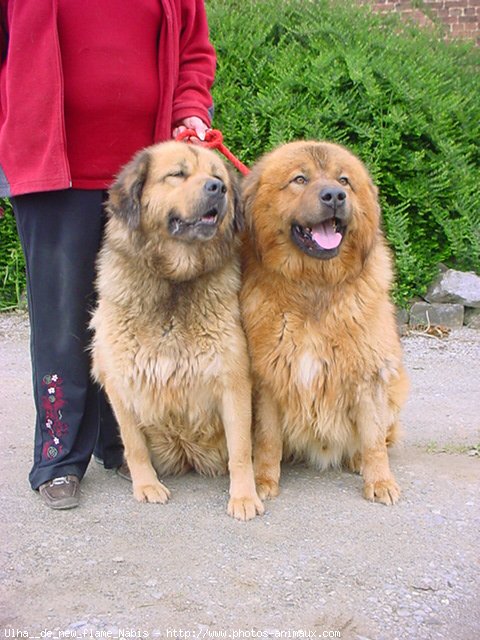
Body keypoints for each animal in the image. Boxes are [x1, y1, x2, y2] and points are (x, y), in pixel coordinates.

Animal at [90, 140, 262, 520]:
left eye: (217, 176)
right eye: (178, 174)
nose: (218, 188)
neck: (174, 281)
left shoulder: (233, 380)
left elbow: (241, 450)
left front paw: (244, 496)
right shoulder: (119, 382)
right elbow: (134, 446)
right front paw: (146, 485)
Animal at [240, 140, 408, 504]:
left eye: (344, 181)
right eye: (300, 179)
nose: (334, 196)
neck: (315, 287)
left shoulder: (368, 373)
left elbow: (373, 439)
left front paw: (379, 481)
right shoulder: (269, 376)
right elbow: (267, 439)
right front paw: (262, 480)